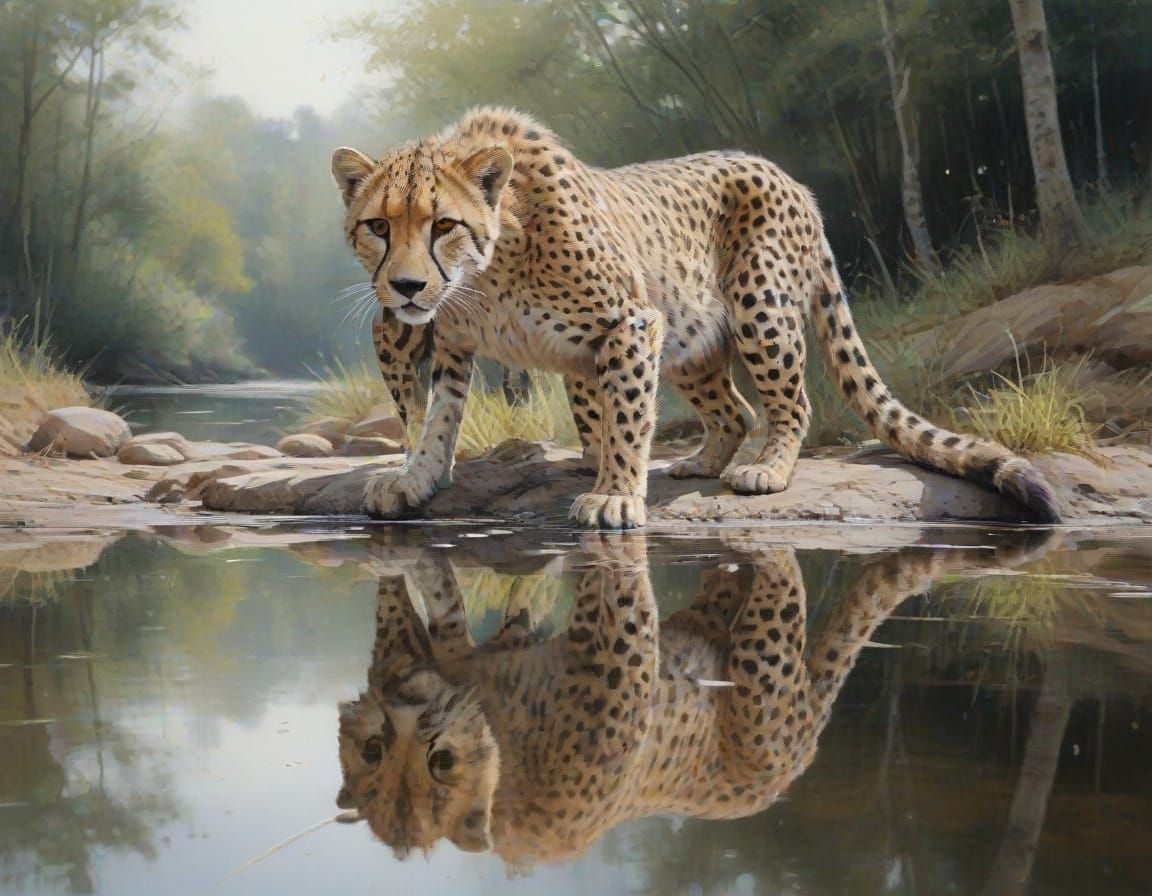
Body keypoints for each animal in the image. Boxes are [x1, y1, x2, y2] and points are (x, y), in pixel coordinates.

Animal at [332, 107, 1062, 529]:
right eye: (378, 226)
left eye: (443, 225)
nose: (405, 286)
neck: (485, 275)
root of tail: (787, 177)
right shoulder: (455, 346)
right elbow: (437, 420)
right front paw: (414, 480)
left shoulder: (631, 322)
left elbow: (628, 418)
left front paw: (616, 495)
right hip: (691, 339)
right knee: (733, 409)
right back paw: (701, 461)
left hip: (756, 306)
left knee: (792, 404)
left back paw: (766, 471)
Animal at [334, 534, 997, 865]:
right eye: (373, 750)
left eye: (440, 763)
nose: (409, 706)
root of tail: (791, 770)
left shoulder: (616, 660)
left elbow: (612, 593)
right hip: (724, 633)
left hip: (760, 673)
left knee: (777, 580)